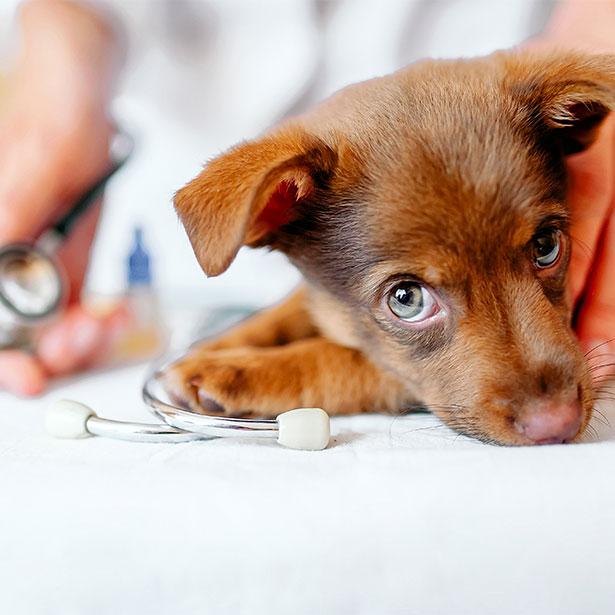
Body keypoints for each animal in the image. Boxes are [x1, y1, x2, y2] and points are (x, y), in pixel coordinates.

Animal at [164, 50, 615, 446]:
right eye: (406, 298)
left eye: (546, 246)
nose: (556, 423)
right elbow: (295, 309)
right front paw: (224, 343)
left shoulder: (395, 372)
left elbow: (340, 358)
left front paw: (238, 368)